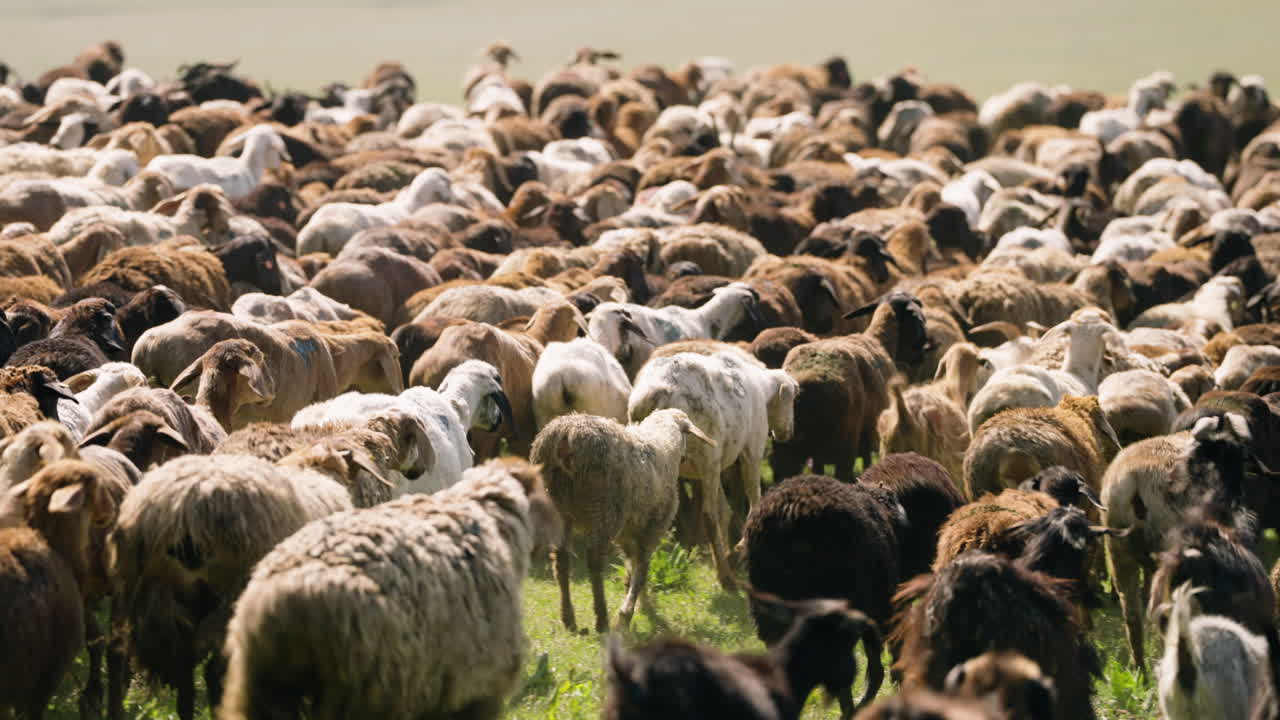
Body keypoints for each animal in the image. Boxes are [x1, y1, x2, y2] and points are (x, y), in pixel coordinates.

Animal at [531, 408, 713, 632]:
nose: (685, 458)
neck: (665, 445)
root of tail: (566, 433)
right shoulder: (653, 527)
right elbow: (641, 569)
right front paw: (627, 613)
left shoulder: (630, 532)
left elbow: (632, 565)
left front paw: (641, 604)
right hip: (606, 508)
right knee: (594, 560)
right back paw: (601, 619)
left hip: (558, 505)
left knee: (561, 559)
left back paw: (568, 617)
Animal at [629, 349, 798, 588]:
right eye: (792, 399)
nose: (788, 433)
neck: (761, 390)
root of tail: (656, 392)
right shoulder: (750, 452)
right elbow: (754, 500)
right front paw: (740, 547)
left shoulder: (715, 467)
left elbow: (724, 511)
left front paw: (729, 552)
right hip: (706, 454)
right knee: (708, 516)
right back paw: (726, 578)